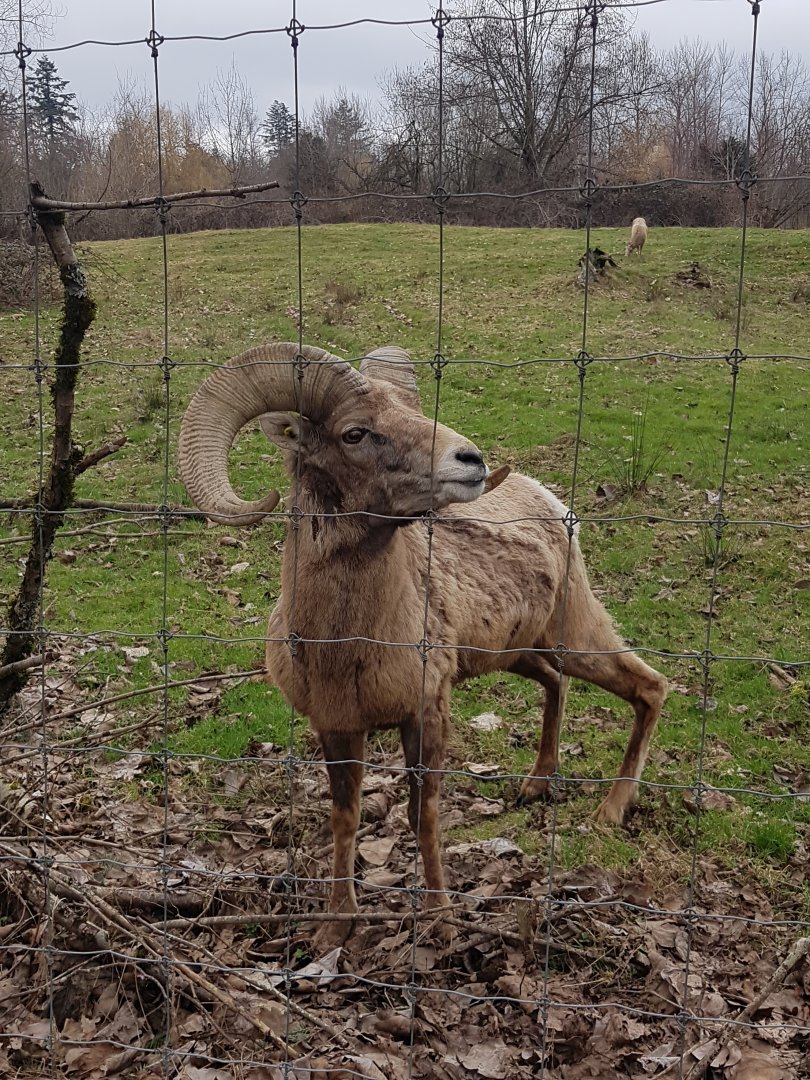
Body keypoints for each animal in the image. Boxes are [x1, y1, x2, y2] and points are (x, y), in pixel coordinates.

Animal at [178, 342, 668, 948]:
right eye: (355, 433)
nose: (470, 461)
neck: (345, 646)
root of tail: (552, 503)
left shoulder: (426, 714)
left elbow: (423, 814)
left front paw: (439, 915)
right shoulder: (338, 727)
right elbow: (345, 818)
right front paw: (337, 925)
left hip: (577, 635)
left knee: (649, 687)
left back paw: (612, 810)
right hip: (518, 654)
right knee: (560, 684)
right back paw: (535, 786)